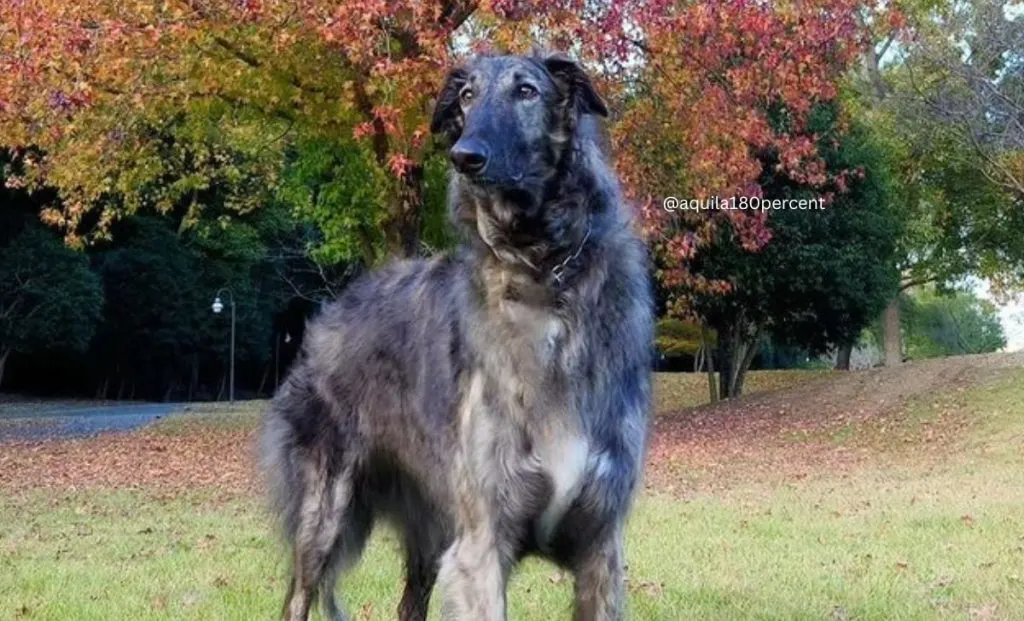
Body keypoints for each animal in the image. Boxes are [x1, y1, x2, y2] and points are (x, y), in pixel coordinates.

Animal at [260, 53, 651, 621]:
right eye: (467, 96)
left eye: (527, 91)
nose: (465, 156)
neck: (542, 276)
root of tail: (328, 316)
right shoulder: (481, 545)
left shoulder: (599, 545)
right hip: (325, 515)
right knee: (297, 596)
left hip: (430, 533)